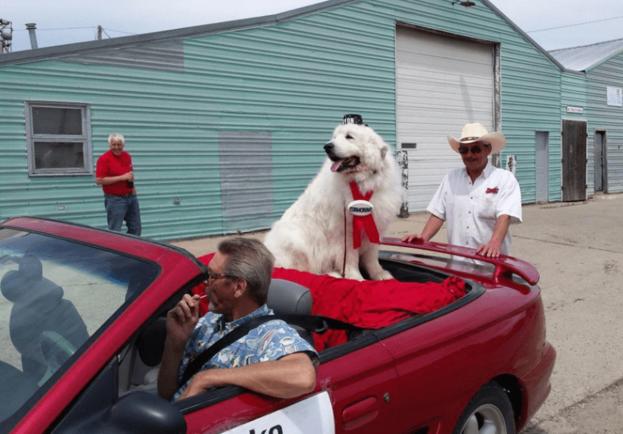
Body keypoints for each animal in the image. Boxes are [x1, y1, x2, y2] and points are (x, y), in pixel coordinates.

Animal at [262, 120, 400, 280]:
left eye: (349, 137)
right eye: (334, 137)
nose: (327, 146)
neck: (361, 182)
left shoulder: (373, 224)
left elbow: (372, 256)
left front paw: (379, 274)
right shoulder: (345, 232)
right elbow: (350, 258)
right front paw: (356, 278)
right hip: (297, 240)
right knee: (304, 270)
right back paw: (332, 274)